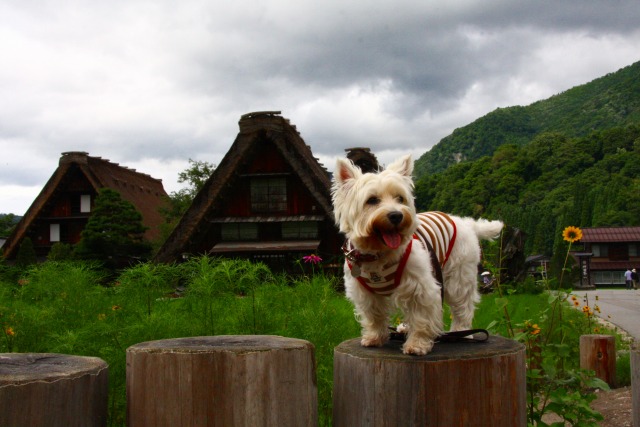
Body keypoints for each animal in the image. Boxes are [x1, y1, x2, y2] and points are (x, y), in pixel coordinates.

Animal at [330, 155, 504, 356]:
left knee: (463, 306)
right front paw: (375, 338)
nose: (396, 215)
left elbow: (422, 318)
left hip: (458, 277)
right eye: (372, 200)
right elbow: (374, 317)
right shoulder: (366, 293)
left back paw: (462, 332)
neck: (378, 255)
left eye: (400, 198)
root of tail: (465, 223)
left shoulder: (421, 288)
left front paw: (417, 345)